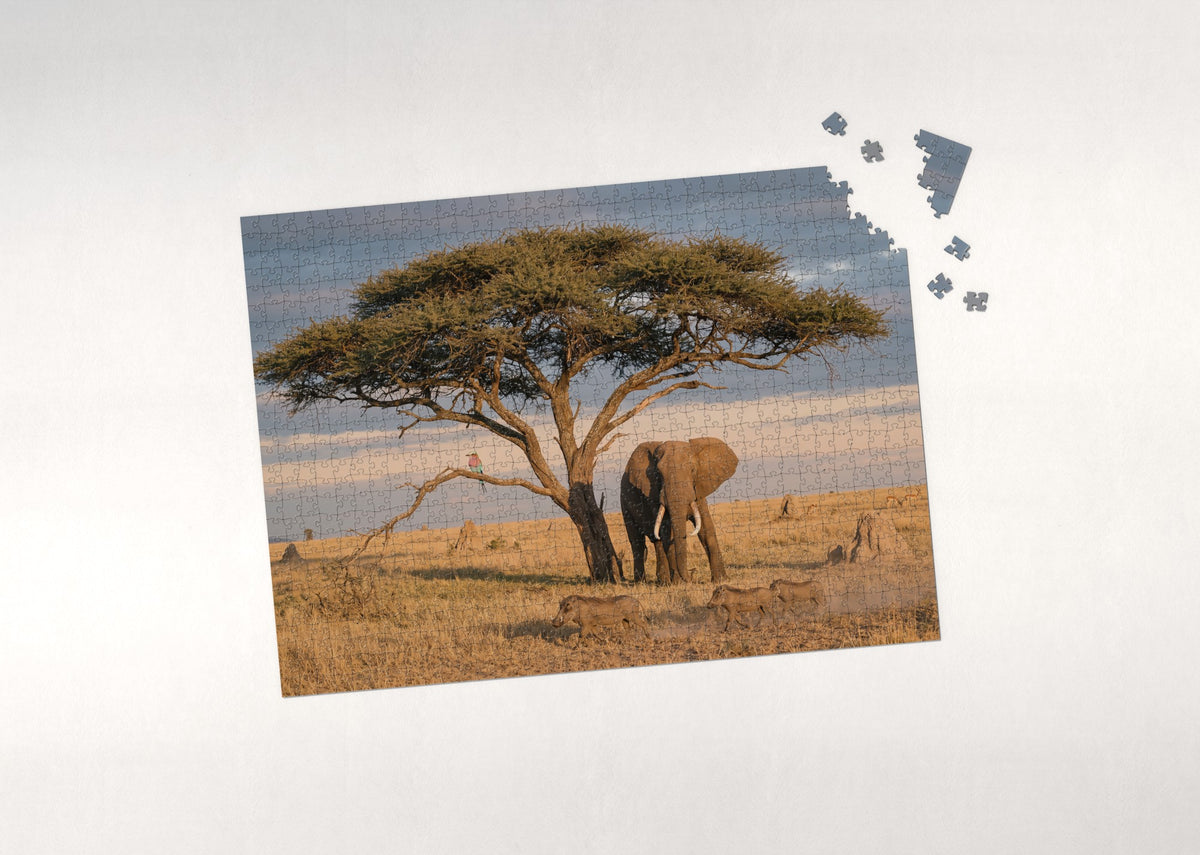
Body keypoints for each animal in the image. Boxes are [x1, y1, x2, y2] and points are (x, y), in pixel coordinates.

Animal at [620, 437, 738, 585]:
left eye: (693, 470)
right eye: (659, 474)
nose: (691, 576)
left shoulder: (697, 490)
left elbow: (706, 529)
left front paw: (721, 580)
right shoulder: (653, 494)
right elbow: (667, 532)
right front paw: (679, 583)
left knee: (656, 541)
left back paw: (663, 582)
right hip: (624, 504)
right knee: (637, 543)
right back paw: (642, 582)